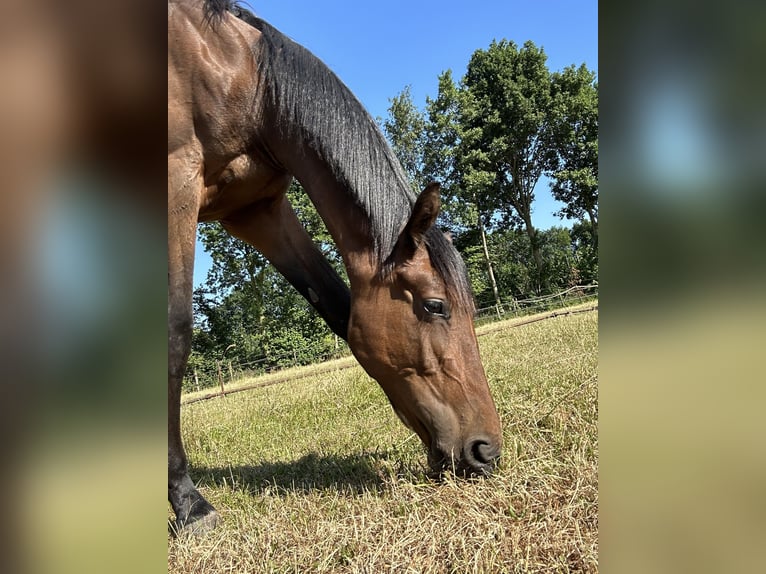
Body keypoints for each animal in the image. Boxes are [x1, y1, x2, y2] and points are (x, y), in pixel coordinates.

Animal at [169, 0, 504, 532]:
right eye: (434, 306)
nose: (486, 450)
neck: (244, 74)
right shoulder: (177, 183)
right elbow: (176, 336)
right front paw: (189, 503)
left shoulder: (257, 210)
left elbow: (337, 306)